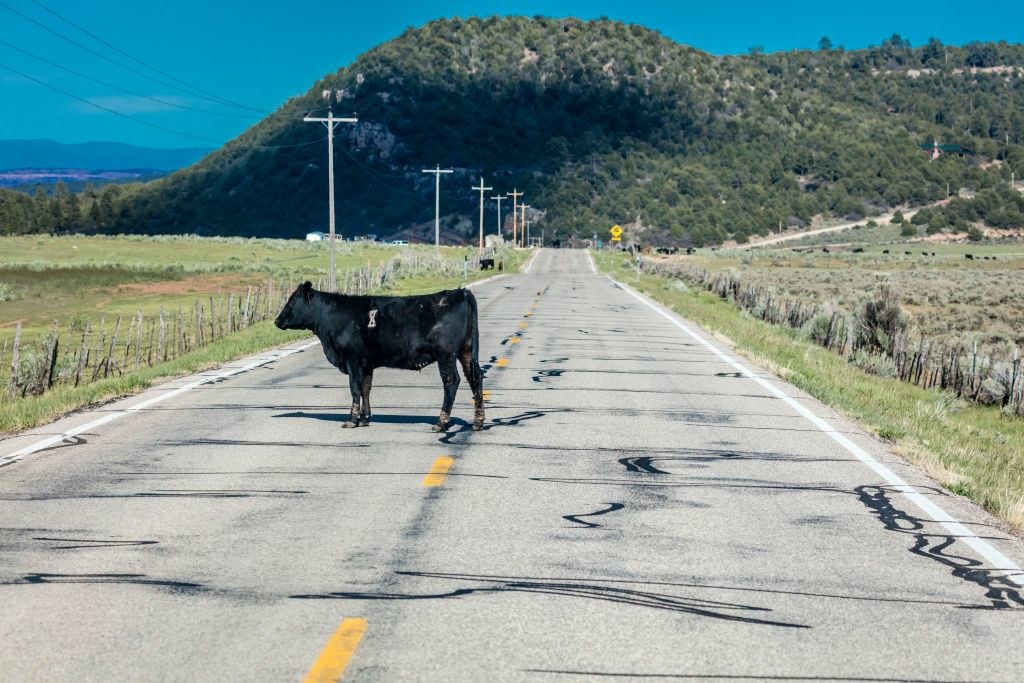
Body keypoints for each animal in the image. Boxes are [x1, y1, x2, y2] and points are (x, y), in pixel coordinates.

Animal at [274, 282, 485, 432]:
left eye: (292, 301)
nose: (276, 321)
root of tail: (461, 292)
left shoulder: (352, 359)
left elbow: (355, 388)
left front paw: (351, 420)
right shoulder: (366, 363)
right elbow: (366, 388)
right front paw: (365, 418)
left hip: (446, 354)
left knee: (452, 381)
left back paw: (441, 422)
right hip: (466, 351)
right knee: (475, 377)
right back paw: (478, 422)